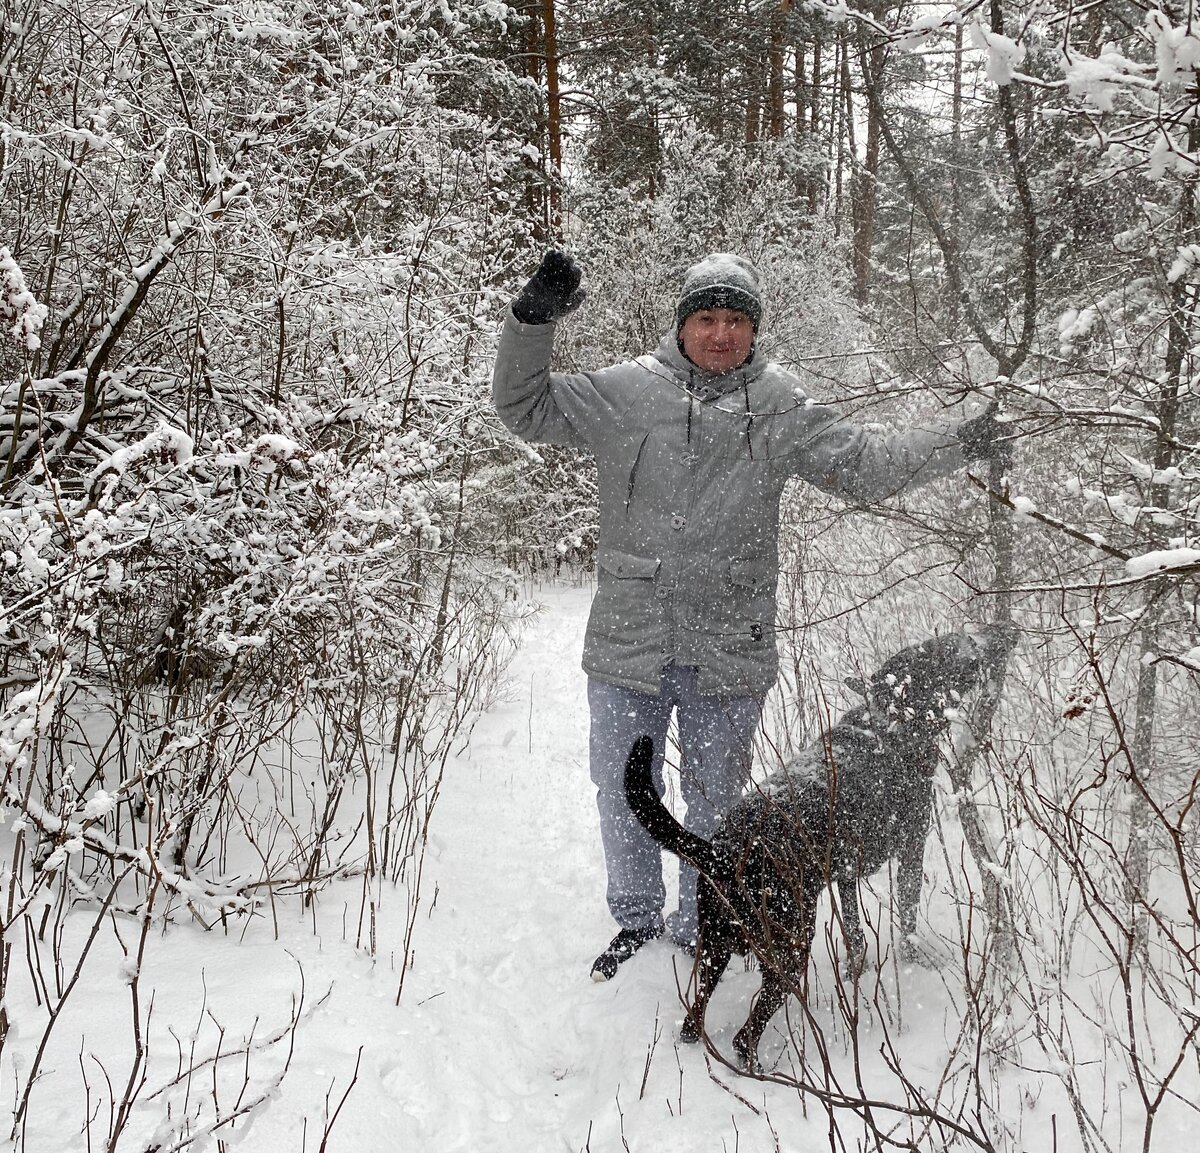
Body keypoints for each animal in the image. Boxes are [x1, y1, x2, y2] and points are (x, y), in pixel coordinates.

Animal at [624, 623, 1008, 1065]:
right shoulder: (911, 845)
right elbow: (907, 918)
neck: (890, 726)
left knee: (694, 1018)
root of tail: (726, 852)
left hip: (713, 947)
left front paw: (857, 965)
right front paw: (913, 958)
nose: (998, 635)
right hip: (791, 947)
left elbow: (855, 929)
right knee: (746, 1034)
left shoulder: (844, 873)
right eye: (944, 652)